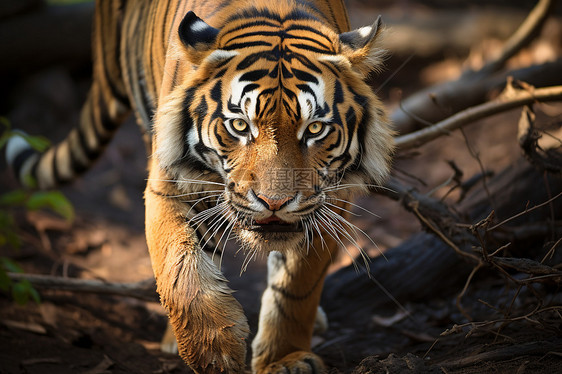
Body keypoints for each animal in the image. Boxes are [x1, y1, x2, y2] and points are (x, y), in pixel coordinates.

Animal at [7, 1, 394, 372]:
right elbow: (179, 265)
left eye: (314, 129)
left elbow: (298, 286)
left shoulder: (331, 201)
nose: (274, 202)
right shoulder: (169, 182)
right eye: (240, 125)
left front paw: (285, 359)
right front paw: (213, 349)